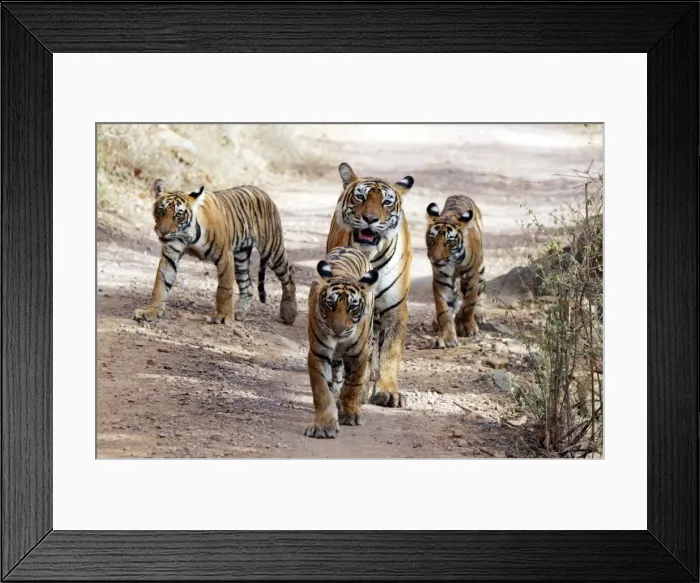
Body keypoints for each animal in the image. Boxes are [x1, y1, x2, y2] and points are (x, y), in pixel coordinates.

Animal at [133, 179, 298, 326]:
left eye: (178, 215)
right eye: (161, 211)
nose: (163, 232)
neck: (187, 235)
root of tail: (262, 192)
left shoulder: (225, 257)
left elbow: (225, 289)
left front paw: (224, 317)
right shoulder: (170, 256)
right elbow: (160, 285)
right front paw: (151, 312)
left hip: (272, 250)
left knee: (288, 278)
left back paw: (289, 313)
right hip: (240, 258)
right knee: (248, 286)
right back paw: (239, 313)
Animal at [305, 246, 378, 438]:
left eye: (352, 307)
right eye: (330, 304)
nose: (337, 330)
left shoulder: (358, 355)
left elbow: (353, 386)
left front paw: (351, 414)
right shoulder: (318, 353)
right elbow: (322, 390)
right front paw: (324, 425)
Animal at [325, 162, 414, 408]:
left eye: (386, 202)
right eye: (360, 197)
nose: (370, 218)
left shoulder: (395, 307)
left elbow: (390, 352)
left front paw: (388, 392)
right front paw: (359, 390)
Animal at [426, 194, 486, 348]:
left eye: (449, 242)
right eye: (432, 239)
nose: (436, 260)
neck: (454, 260)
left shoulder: (471, 275)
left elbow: (469, 302)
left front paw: (467, 326)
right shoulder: (442, 279)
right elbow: (444, 310)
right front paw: (447, 337)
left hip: (480, 267)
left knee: (481, 288)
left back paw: (480, 314)